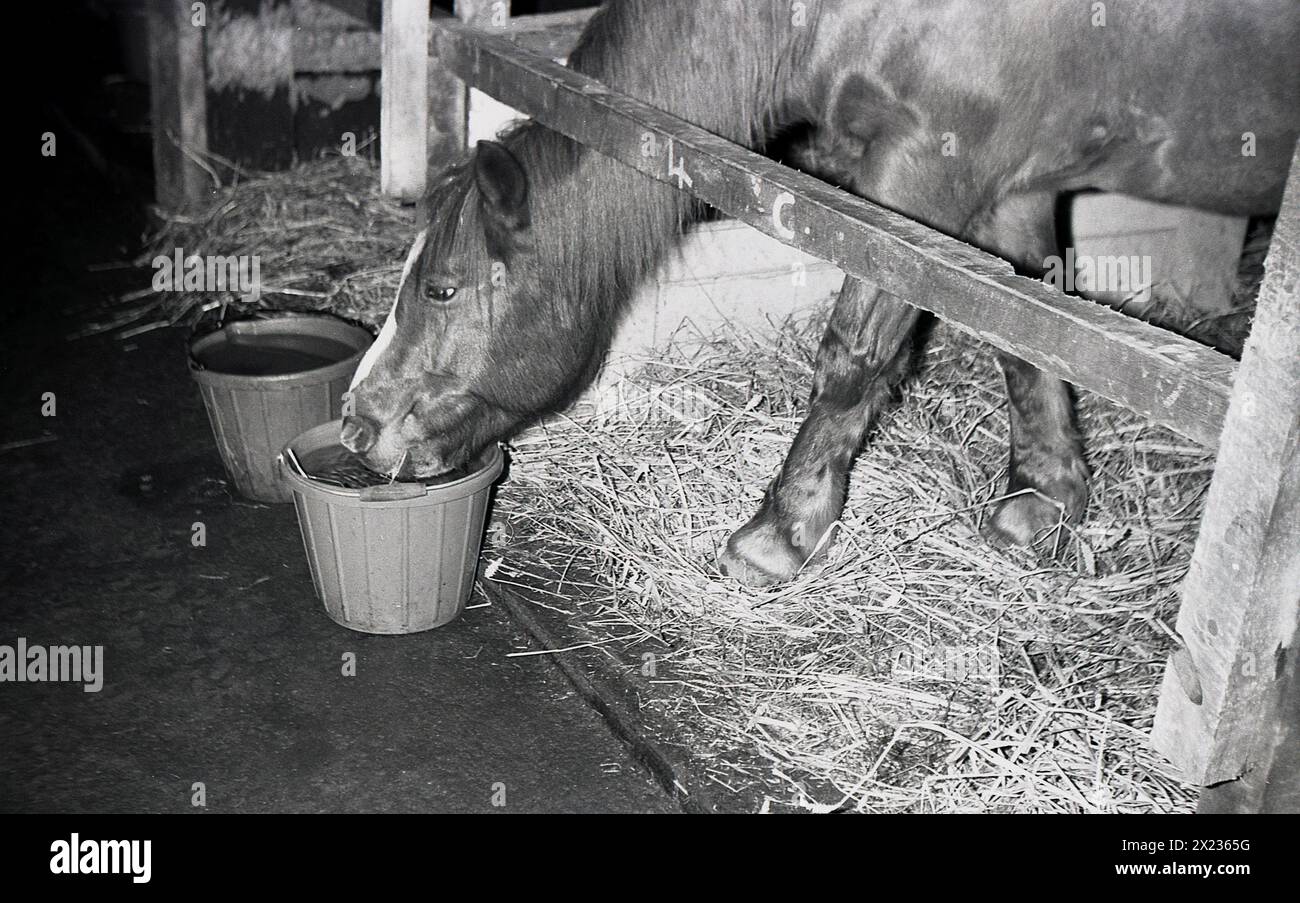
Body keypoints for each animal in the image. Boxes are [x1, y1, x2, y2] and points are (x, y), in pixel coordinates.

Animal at [340, 0, 1294, 587]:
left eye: (443, 288)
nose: (357, 425)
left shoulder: (924, 174)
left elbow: (853, 355)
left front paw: (781, 533)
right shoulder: (1011, 186)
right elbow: (1025, 331)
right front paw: (1045, 497)